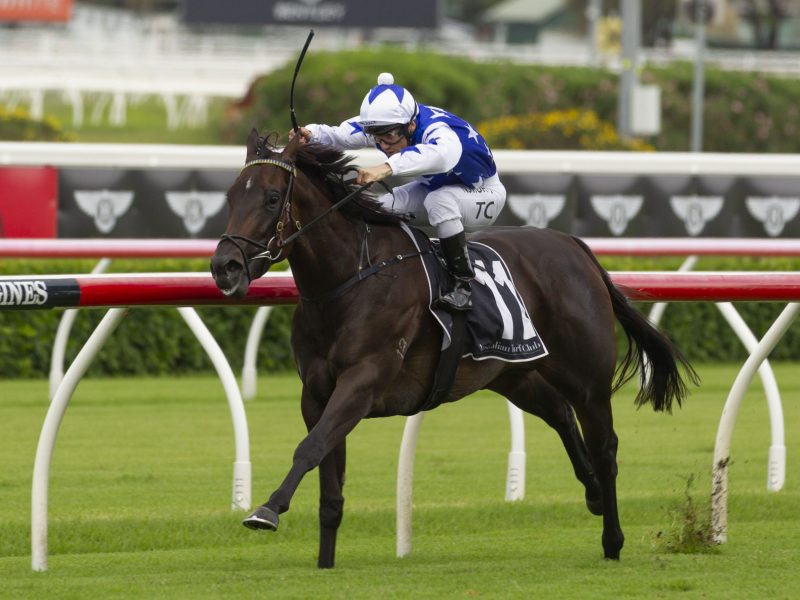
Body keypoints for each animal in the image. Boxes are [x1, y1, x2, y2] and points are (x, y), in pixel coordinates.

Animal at [210, 129, 696, 568]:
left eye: (272, 198)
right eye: (231, 197)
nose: (224, 267)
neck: (350, 280)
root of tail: (575, 246)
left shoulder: (363, 382)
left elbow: (309, 449)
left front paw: (266, 510)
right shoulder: (316, 393)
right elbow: (328, 478)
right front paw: (324, 561)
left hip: (587, 379)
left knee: (605, 446)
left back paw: (612, 538)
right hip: (512, 374)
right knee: (559, 413)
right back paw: (592, 492)